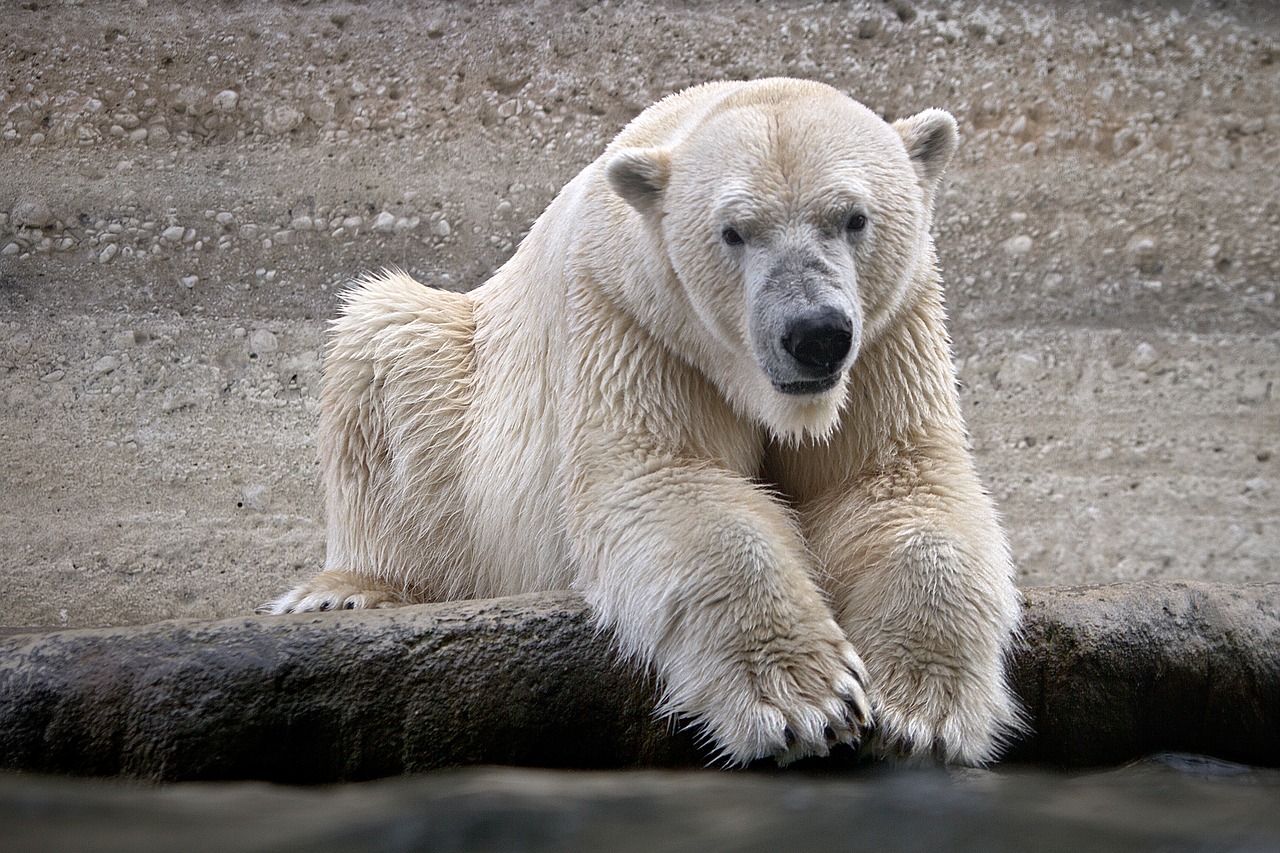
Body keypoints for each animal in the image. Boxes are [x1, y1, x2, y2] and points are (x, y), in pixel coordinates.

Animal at [264, 79, 1024, 768]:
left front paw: (921, 711)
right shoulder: (632, 317)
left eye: (854, 218)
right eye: (734, 231)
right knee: (385, 343)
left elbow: (893, 482)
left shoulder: (888, 331)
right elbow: (665, 481)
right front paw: (808, 703)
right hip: (459, 383)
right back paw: (346, 590)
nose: (814, 334)